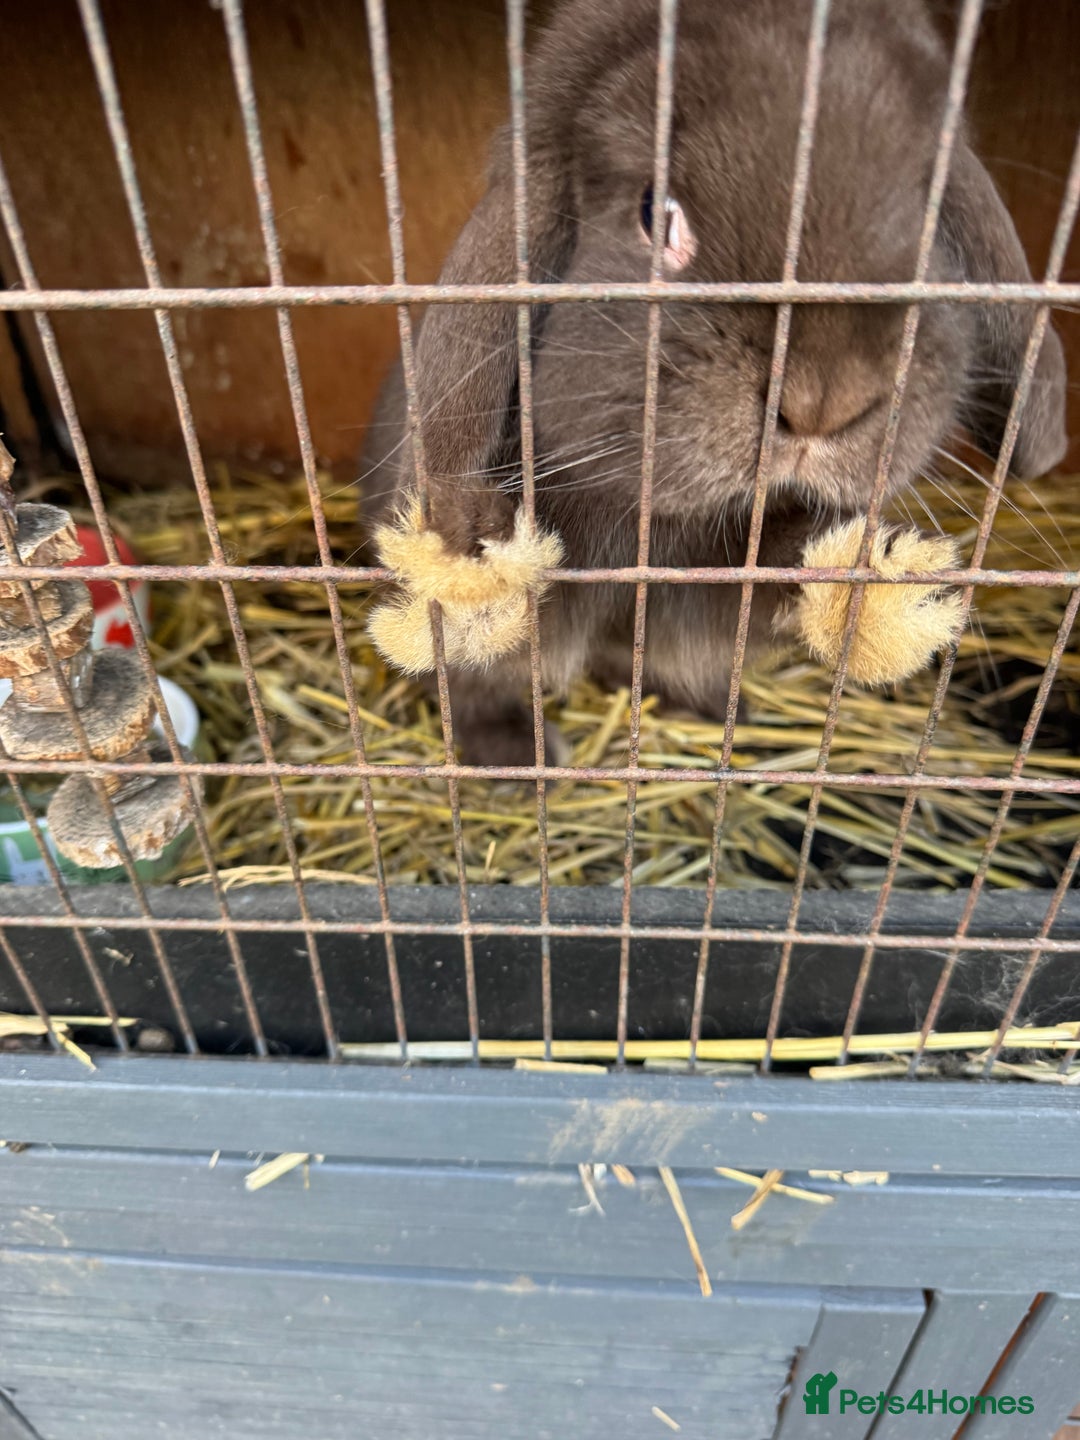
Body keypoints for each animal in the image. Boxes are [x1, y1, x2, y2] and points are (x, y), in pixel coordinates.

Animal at [360, 0, 1067, 766]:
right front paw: (483, 545)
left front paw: (878, 575)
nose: (823, 400)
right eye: (655, 215)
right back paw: (520, 757)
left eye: (933, 221)